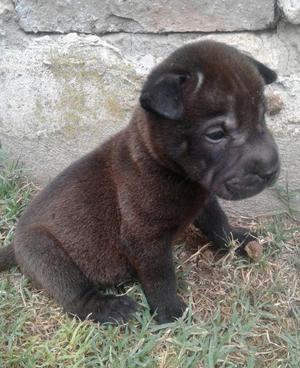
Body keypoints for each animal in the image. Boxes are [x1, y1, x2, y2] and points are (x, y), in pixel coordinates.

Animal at [0, 40, 278, 324]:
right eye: (216, 134)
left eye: (262, 115)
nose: (270, 170)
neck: (169, 169)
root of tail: (16, 247)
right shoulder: (145, 238)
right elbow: (160, 278)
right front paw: (169, 311)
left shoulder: (205, 198)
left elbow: (218, 223)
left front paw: (237, 242)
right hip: (47, 253)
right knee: (74, 297)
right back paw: (109, 307)